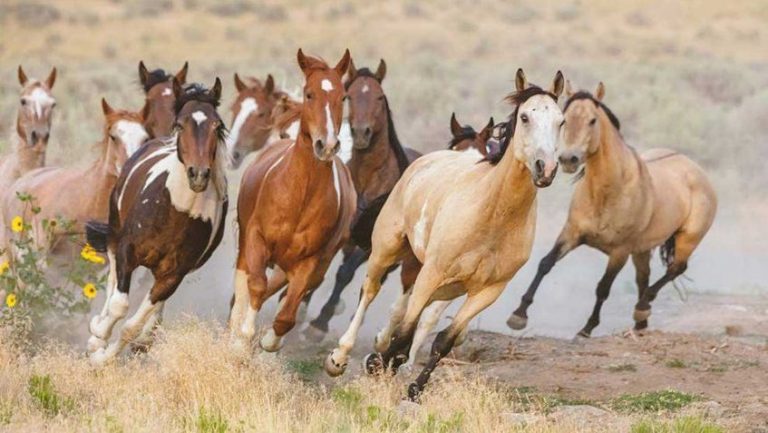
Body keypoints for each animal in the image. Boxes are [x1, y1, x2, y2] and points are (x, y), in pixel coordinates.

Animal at [85, 78, 228, 364]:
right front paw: (97, 341)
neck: (177, 211)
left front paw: (105, 358)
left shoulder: (173, 275)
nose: (198, 174)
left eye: (217, 126)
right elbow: (119, 304)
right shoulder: (127, 251)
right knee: (112, 280)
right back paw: (97, 329)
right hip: (115, 230)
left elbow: (132, 326)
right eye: (181, 124)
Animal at [228, 49, 356, 353]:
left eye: (343, 97)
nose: (327, 145)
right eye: (310, 94)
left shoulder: (309, 262)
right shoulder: (256, 238)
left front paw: (268, 340)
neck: (300, 195)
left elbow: (286, 315)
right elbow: (256, 285)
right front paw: (242, 337)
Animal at [304, 58, 422, 337]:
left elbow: (345, 273)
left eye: (379, 97)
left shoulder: (368, 245)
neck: (368, 179)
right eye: (349, 96)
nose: (360, 133)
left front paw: (319, 323)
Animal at [325, 69, 565, 402]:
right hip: (387, 249)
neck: (492, 215)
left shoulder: (487, 290)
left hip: (446, 285)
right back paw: (340, 357)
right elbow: (405, 330)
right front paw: (376, 364)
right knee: (370, 291)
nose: (546, 168)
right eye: (526, 117)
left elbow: (443, 339)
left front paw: (413, 388)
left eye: (561, 121)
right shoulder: (432, 272)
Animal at [507, 81, 717, 337]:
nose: (568, 159)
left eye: (592, 120)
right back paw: (640, 323)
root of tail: (696, 170)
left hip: (687, 239)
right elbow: (545, 264)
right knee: (643, 278)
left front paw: (586, 329)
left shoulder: (620, 251)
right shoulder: (572, 233)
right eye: (566, 119)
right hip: (642, 250)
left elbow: (603, 288)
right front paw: (518, 315)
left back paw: (642, 307)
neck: (607, 193)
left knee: (675, 268)